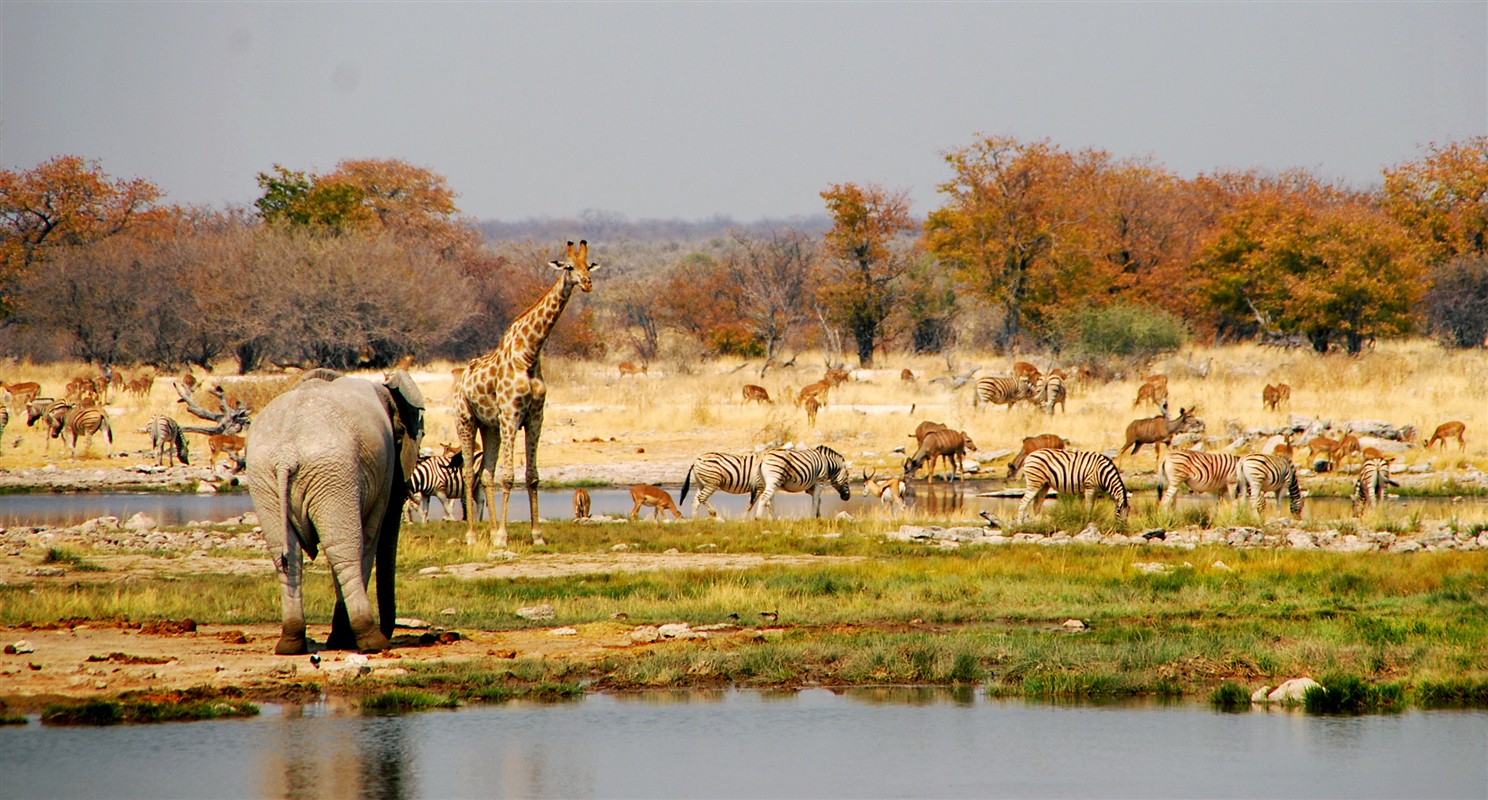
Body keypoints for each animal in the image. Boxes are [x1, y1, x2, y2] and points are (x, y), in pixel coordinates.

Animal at [247, 367, 425, 654]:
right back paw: (370, 641)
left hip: (265, 478)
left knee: (285, 554)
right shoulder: (382, 471)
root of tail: (286, 454)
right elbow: (369, 538)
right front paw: (344, 639)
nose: (388, 632)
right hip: (331, 471)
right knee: (345, 549)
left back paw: (291, 643)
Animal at [452, 237, 598, 547]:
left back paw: (491, 529)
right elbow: (509, 477)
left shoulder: (535, 418)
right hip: (466, 420)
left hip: (490, 427)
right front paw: (503, 537)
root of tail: (461, 378)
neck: (529, 354)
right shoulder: (511, 415)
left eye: (588, 265)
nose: (587, 283)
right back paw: (473, 536)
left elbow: (532, 476)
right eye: (569, 266)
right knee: (470, 473)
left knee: (486, 474)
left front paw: (536, 535)